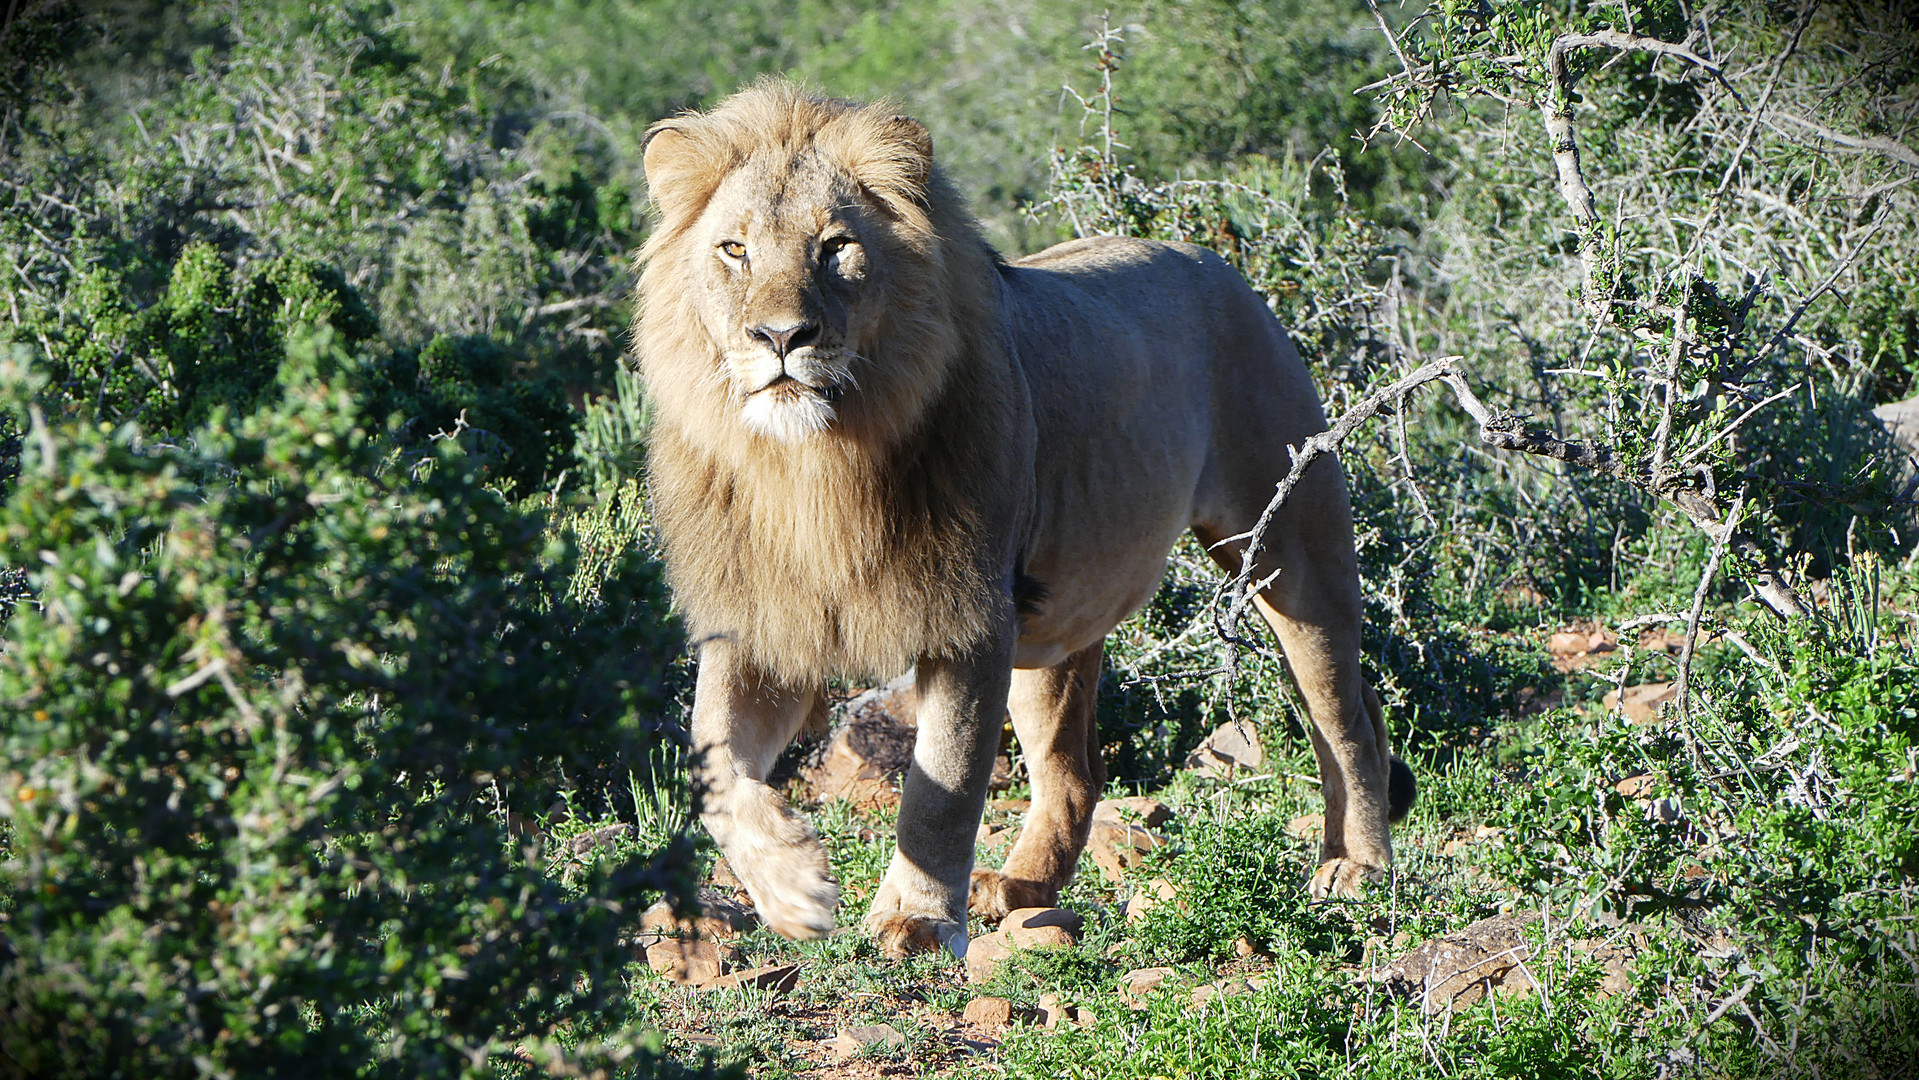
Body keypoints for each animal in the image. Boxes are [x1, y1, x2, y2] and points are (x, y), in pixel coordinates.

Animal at [637, 84, 1420, 959]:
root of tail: (1209, 260)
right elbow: (712, 766)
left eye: (835, 247)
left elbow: (941, 786)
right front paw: (794, 887)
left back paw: (1356, 867)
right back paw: (1016, 887)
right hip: (1054, 621)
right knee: (1074, 770)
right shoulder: (755, 619)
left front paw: (913, 918)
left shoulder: (967, 618)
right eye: (734, 250)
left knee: (1345, 718)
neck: (810, 463)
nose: (780, 336)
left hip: (1292, 551)